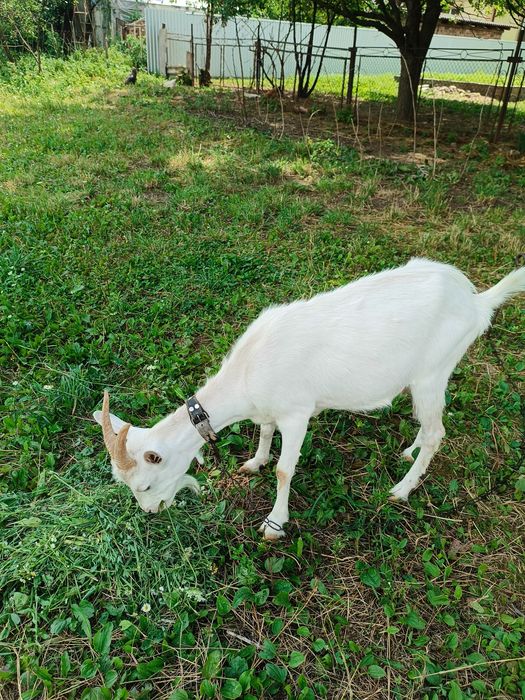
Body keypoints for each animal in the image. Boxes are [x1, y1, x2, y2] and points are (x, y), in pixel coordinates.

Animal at [94, 258, 525, 539]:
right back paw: (408, 453)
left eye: (144, 486)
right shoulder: (269, 409)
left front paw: (274, 523)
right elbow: (264, 433)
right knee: (429, 423)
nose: (151, 511)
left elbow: (286, 470)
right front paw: (254, 462)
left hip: (432, 371)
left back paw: (402, 489)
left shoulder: (297, 412)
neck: (248, 373)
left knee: (437, 432)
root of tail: (476, 302)